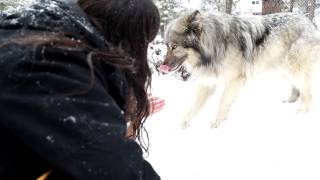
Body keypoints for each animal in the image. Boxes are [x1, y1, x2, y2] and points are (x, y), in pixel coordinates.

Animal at [160, 10, 320, 128]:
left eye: (174, 47)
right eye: (167, 46)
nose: (162, 67)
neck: (216, 45)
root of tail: (309, 22)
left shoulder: (235, 80)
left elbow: (223, 102)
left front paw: (216, 125)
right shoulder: (208, 82)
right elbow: (192, 107)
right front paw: (181, 127)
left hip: (294, 69)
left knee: (308, 93)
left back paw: (301, 112)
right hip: (285, 70)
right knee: (298, 90)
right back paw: (290, 102)